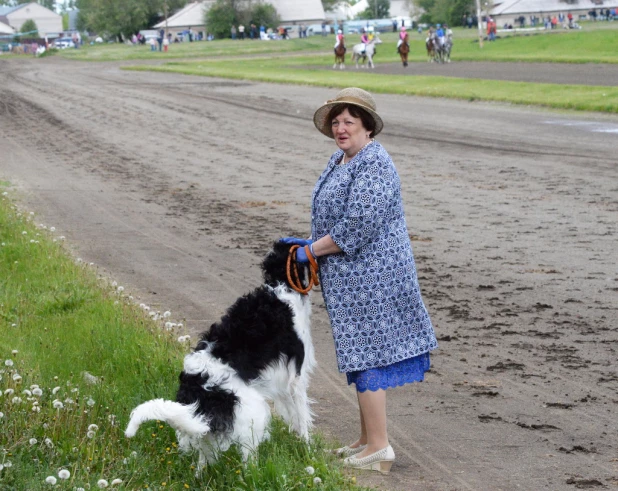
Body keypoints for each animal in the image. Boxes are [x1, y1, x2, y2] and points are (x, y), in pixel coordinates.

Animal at [123, 242, 316, 468]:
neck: (281, 287)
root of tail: (195, 388)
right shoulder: (296, 377)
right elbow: (302, 418)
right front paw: (307, 449)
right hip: (254, 410)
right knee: (248, 460)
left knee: (202, 462)